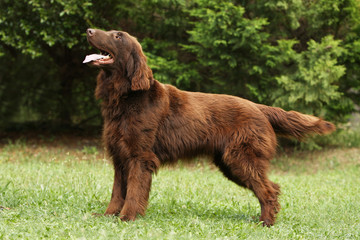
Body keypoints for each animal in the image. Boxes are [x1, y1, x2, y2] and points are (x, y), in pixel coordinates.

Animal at [84, 28, 334, 227]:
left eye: (117, 36)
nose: (88, 30)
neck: (126, 97)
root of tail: (259, 108)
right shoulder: (120, 157)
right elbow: (117, 192)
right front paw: (108, 215)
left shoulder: (140, 157)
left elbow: (134, 191)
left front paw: (127, 217)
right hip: (231, 163)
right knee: (272, 186)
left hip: (241, 159)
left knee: (269, 189)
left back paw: (266, 222)